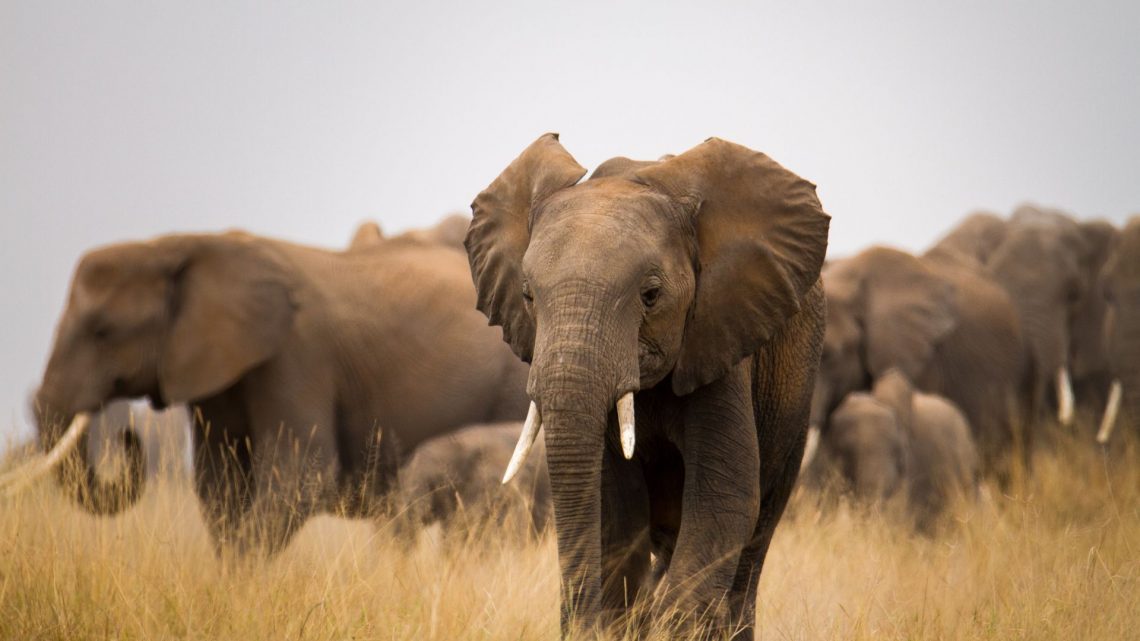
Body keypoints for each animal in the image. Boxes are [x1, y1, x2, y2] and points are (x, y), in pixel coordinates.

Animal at [11, 230, 530, 555]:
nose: (127, 438)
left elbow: (302, 475)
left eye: (103, 331)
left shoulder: (297, 355)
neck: (181, 245)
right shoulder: (217, 371)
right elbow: (219, 487)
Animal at [465, 133, 830, 638]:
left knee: (753, 545)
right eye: (528, 296)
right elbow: (616, 511)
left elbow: (723, 499)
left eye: (651, 296)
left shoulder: (721, 339)